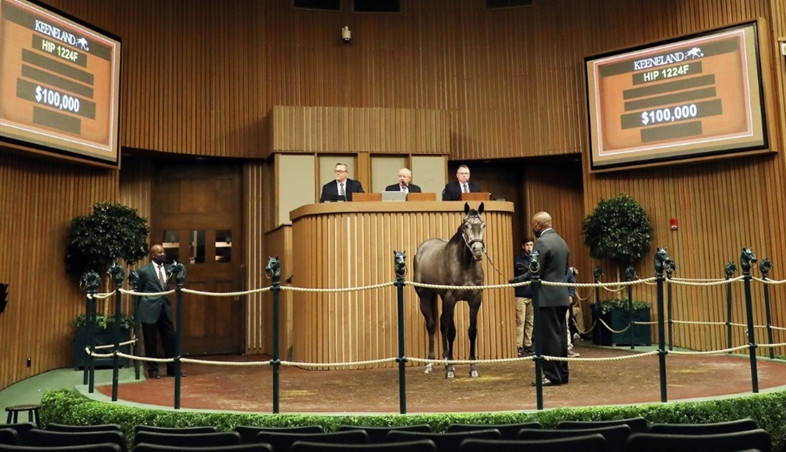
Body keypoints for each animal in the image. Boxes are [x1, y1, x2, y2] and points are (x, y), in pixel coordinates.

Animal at [410, 202, 484, 378]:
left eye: (483, 225)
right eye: (466, 225)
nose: (478, 250)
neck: (465, 265)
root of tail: (422, 248)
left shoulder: (475, 300)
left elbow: (472, 331)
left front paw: (473, 368)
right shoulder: (451, 298)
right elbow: (451, 332)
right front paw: (450, 369)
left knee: (442, 323)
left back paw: (445, 360)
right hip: (425, 297)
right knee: (431, 325)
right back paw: (430, 364)